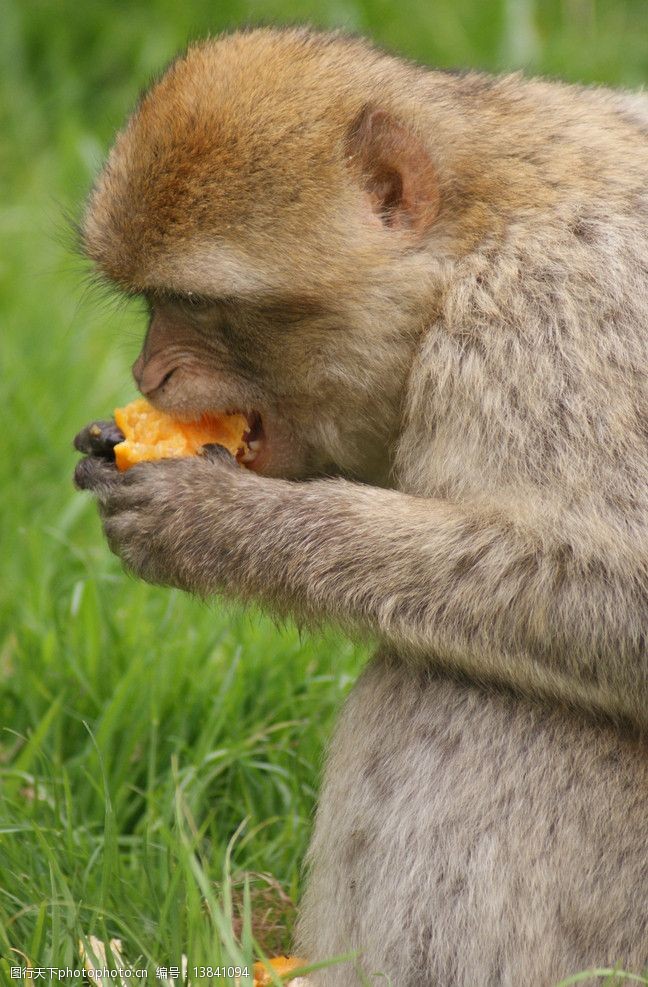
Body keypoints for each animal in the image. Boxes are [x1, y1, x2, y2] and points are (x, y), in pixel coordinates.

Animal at [73, 29, 644, 987]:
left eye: (197, 304)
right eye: (152, 302)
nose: (150, 375)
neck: (479, 231)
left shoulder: (564, 325)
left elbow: (619, 600)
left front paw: (218, 526)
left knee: (463, 691)